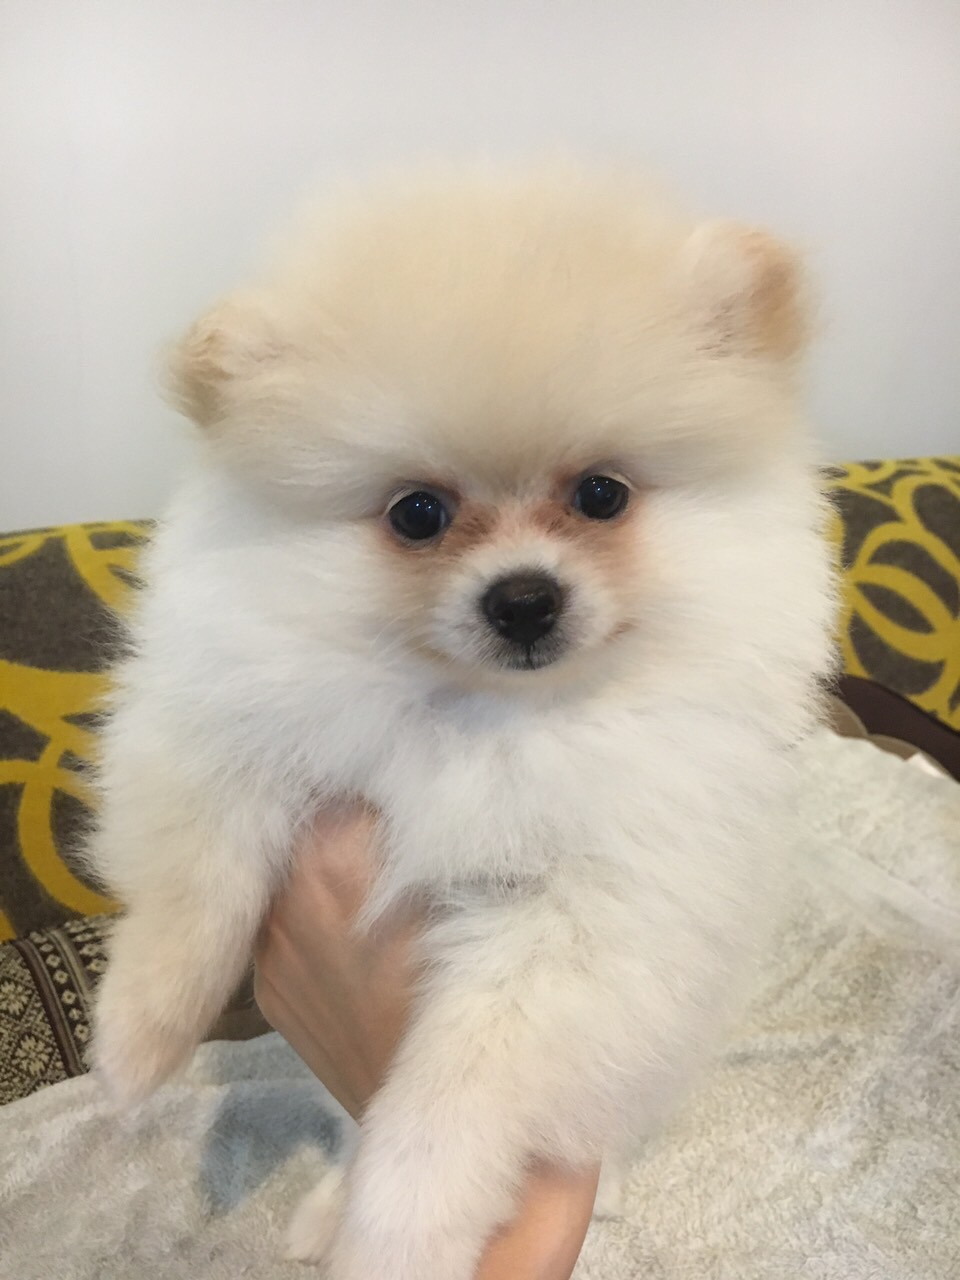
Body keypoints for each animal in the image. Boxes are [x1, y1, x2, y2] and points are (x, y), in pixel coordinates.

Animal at [89, 168, 835, 1279]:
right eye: (417, 514)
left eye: (602, 494)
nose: (524, 599)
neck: (482, 717)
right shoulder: (222, 721)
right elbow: (195, 888)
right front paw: (137, 1040)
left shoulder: (596, 915)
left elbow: (459, 1084)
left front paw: (399, 1229)